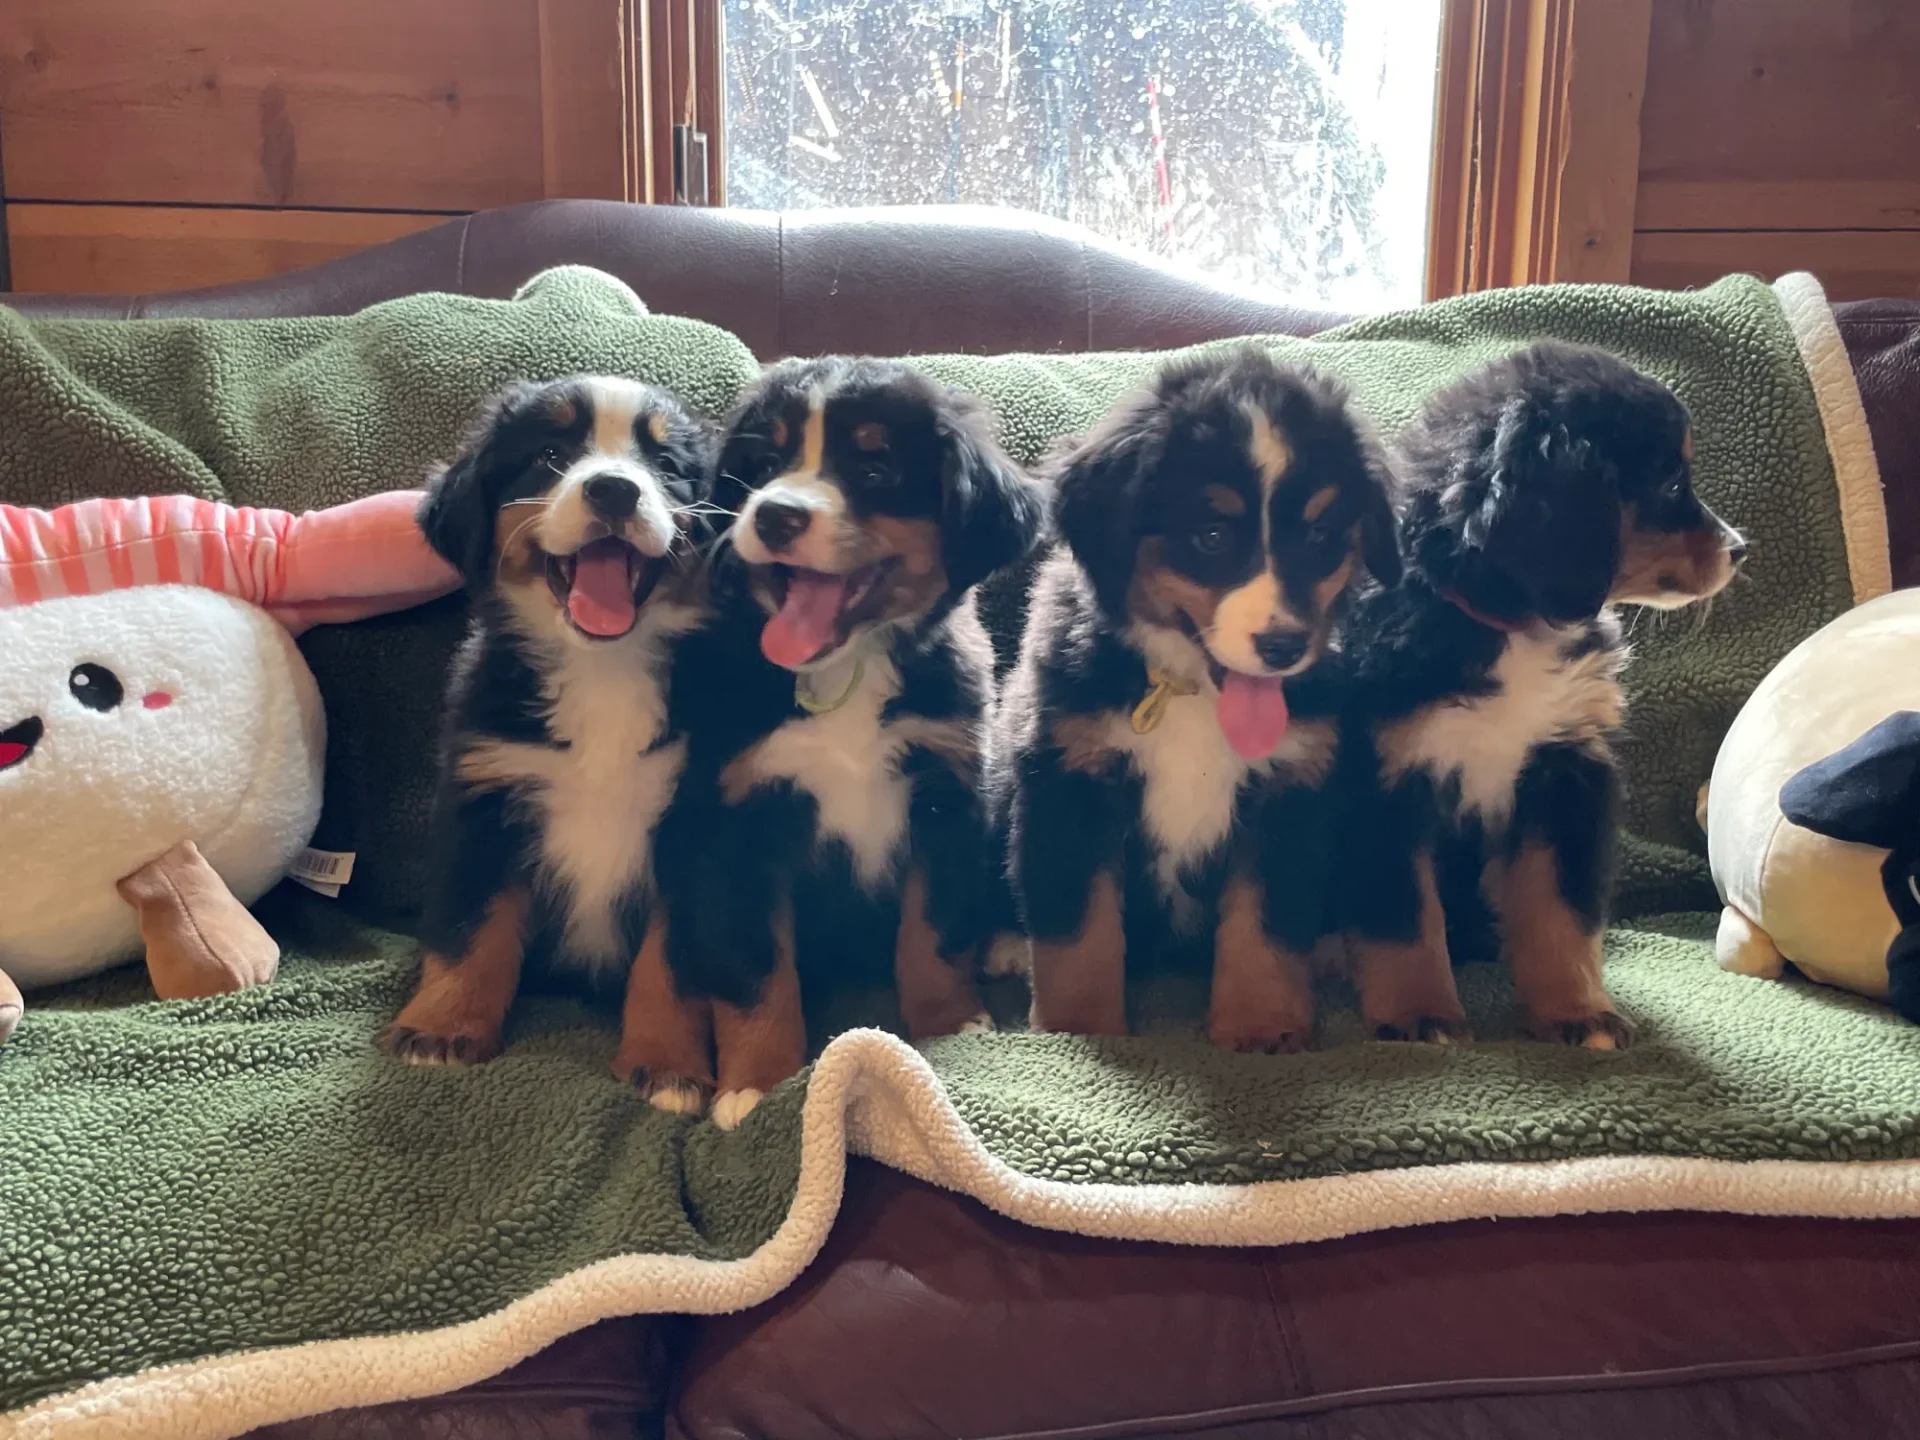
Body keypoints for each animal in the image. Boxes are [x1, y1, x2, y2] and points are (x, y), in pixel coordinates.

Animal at [382, 372, 721, 1075]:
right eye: (549, 456)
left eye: (666, 465)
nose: (615, 488)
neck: (603, 671)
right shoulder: (485, 803)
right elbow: (471, 931)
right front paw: (442, 1027)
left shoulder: (693, 825)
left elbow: (669, 962)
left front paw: (667, 1062)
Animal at [618, 355, 1044, 1136]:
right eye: (764, 465)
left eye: (873, 468)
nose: (775, 515)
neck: (846, 673)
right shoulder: (740, 824)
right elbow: (758, 971)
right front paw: (757, 1084)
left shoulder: (945, 796)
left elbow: (933, 931)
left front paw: (948, 1023)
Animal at [990, 343, 1397, 1052]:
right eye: (1212, 535)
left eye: (1320, 536)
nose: (1285, 645)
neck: (1191, 693)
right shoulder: (1067, 783)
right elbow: (1078, 933)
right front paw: (1078, 1032)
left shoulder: (1289, 791)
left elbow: (1265, 925)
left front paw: (1261, 1028)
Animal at [1344, 345, 1751, 1052]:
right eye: (1672, 486)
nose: (1740, 549)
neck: (1509, 625)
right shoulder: (1390, 777)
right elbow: (1406, 914)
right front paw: (1420, 1012)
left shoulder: (1566, 770)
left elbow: (1558, 905)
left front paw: (1576, 1012)